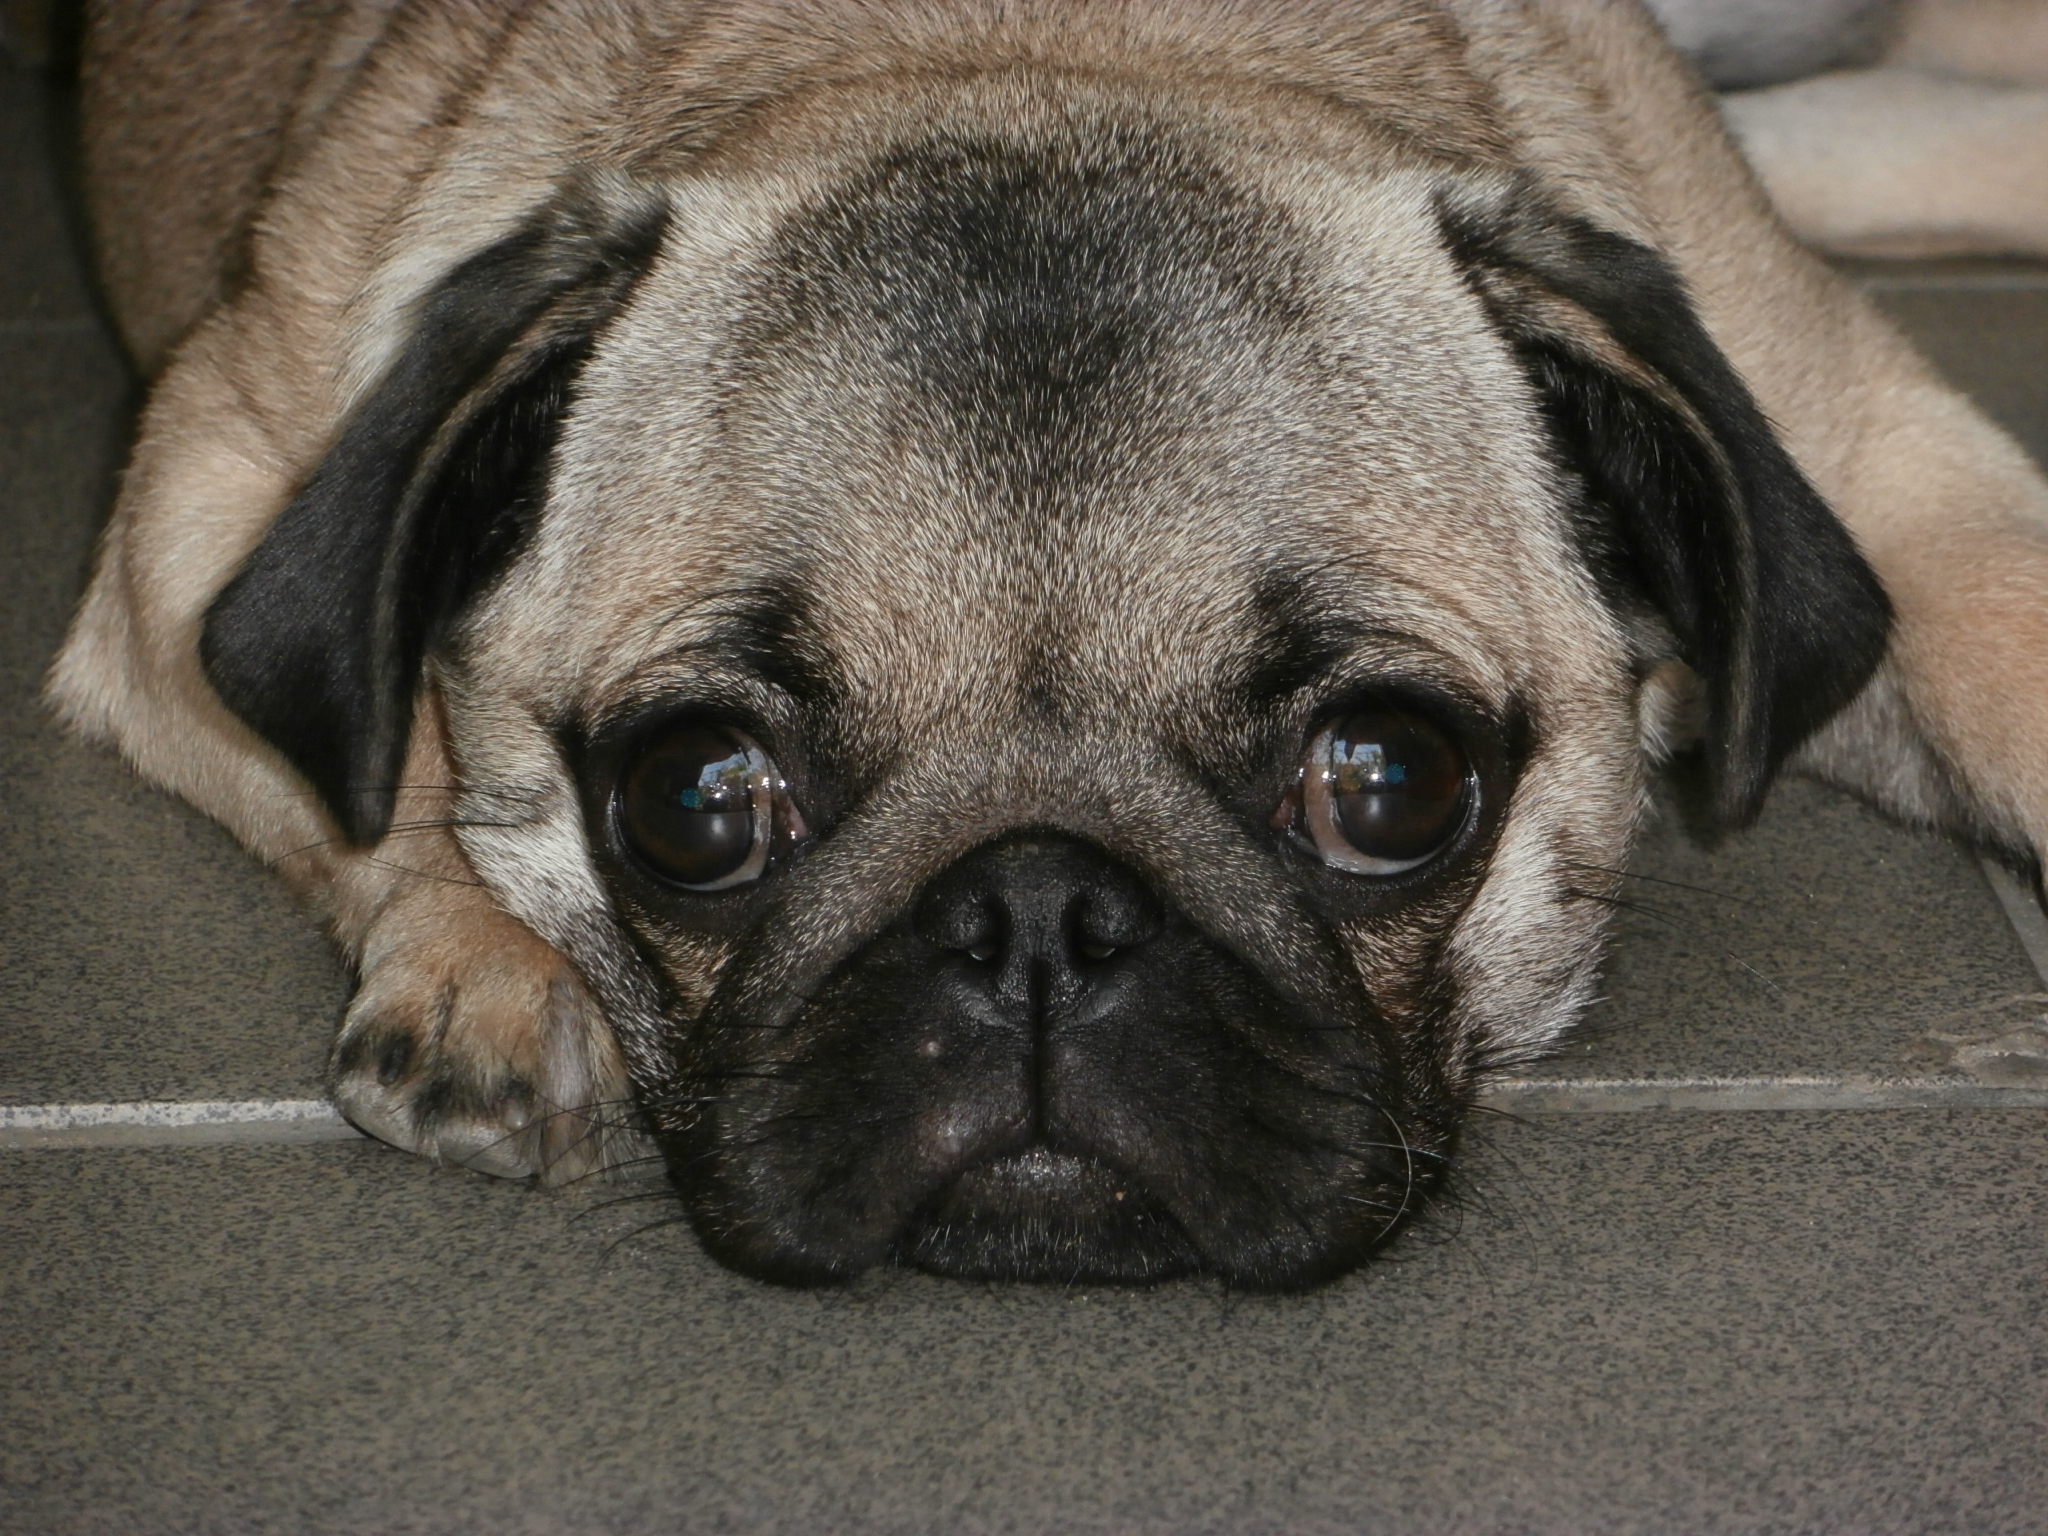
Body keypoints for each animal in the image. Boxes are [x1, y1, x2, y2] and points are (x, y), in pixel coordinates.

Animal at [51, 0, 2048, 1290]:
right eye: (695, 802)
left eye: (1388, 782)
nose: (1034, 916)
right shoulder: (198, 514)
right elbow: (379, 759)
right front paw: (485, 953)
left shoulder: (1890, 477)